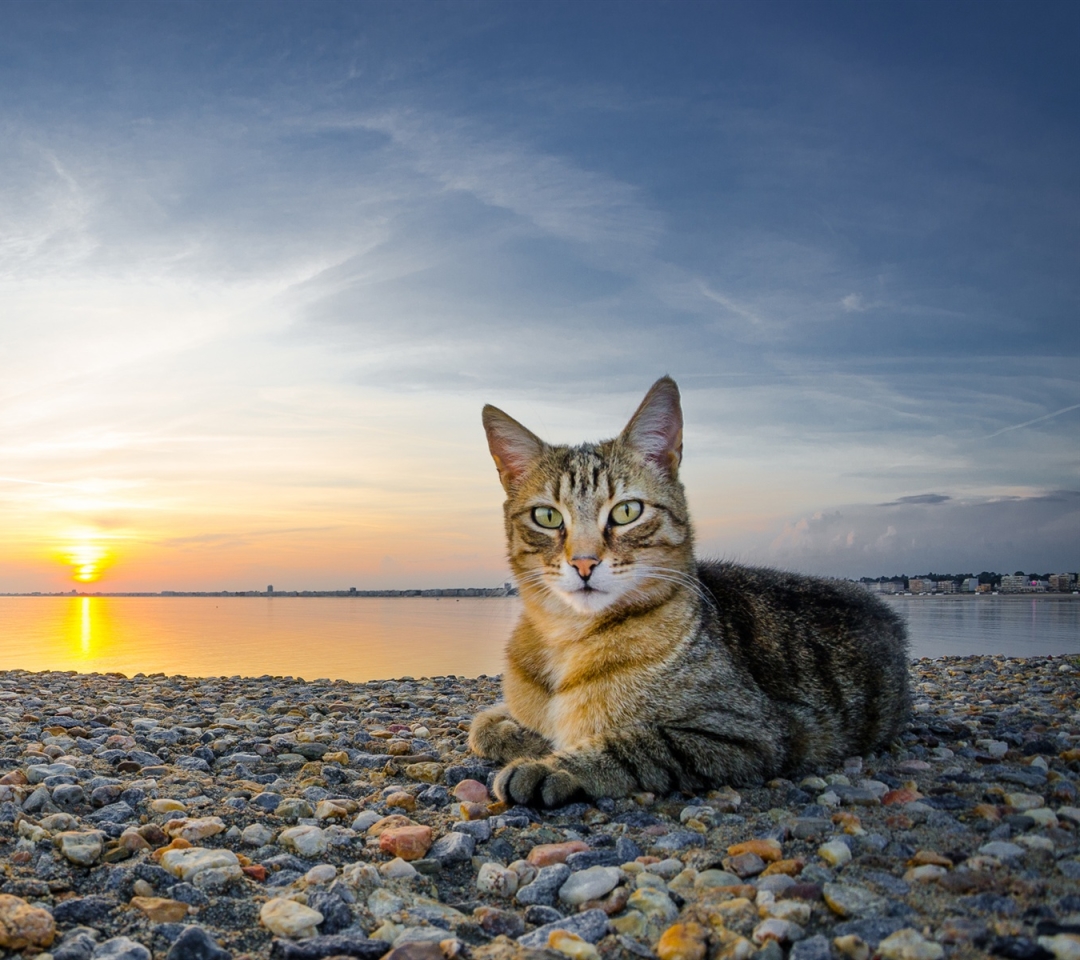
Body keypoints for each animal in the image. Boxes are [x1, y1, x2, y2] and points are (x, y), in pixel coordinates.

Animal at [466, 375, 911, 807]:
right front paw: (526, 736)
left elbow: (638, 743)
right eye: (547, 516)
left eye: (627, 511)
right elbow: (482, 724)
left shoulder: (747, 733)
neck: (566, 636)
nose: (584, 562)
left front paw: (553, 766)